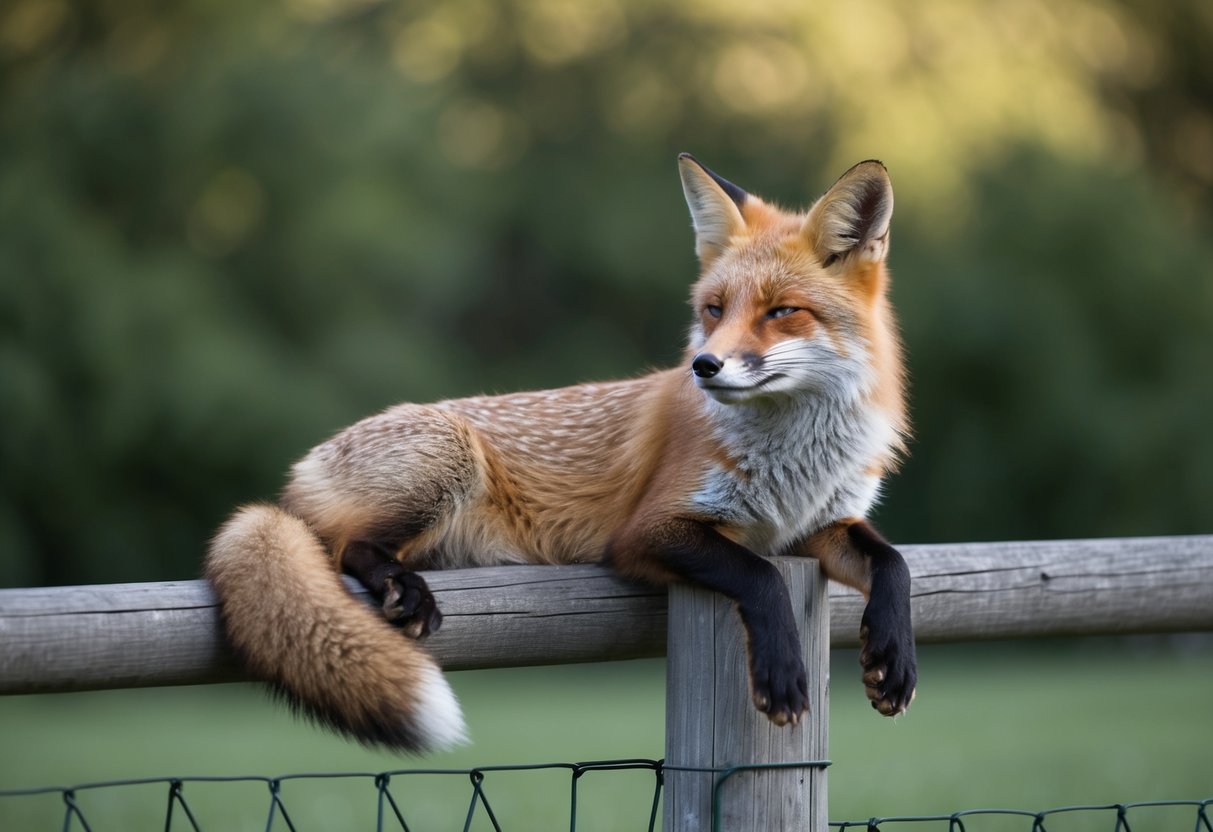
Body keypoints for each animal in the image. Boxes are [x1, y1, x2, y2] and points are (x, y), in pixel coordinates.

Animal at [205, 154, 918, 752]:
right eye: (714, 310)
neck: (795, 467)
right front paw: (781, 674)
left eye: (781, 312)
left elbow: (894, 564)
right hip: (447, 461)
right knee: (346, 547)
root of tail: (295, 477)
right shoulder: (647, 532)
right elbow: (760, 577)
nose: (704, 366)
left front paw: (893, 658)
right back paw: (401, 588)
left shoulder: (819, 525)